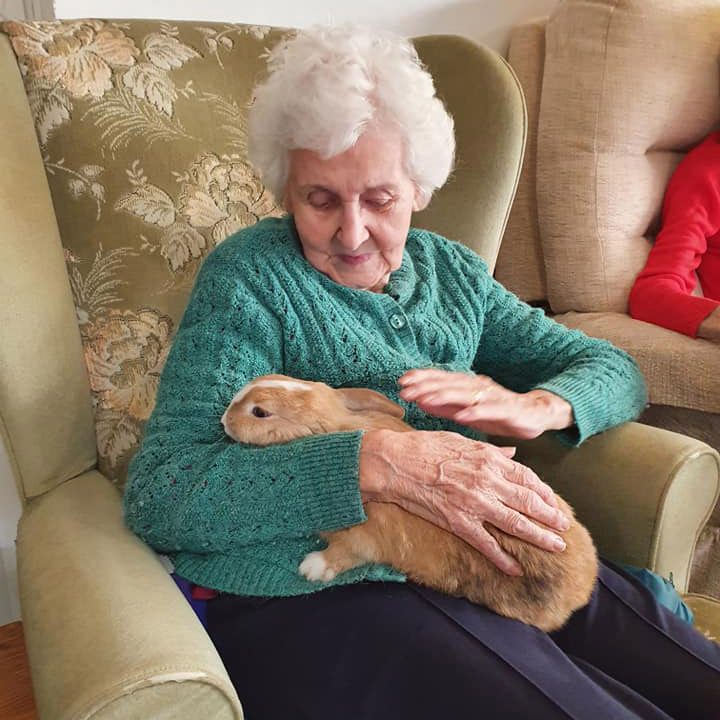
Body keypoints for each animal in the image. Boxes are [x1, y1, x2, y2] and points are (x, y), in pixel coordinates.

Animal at [222, 374, 600, 628]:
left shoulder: (364, 539)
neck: (330, 427)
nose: (224, 420)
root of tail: (582, 590)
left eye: (259, 412)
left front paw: (312, 568)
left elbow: (345, 554)